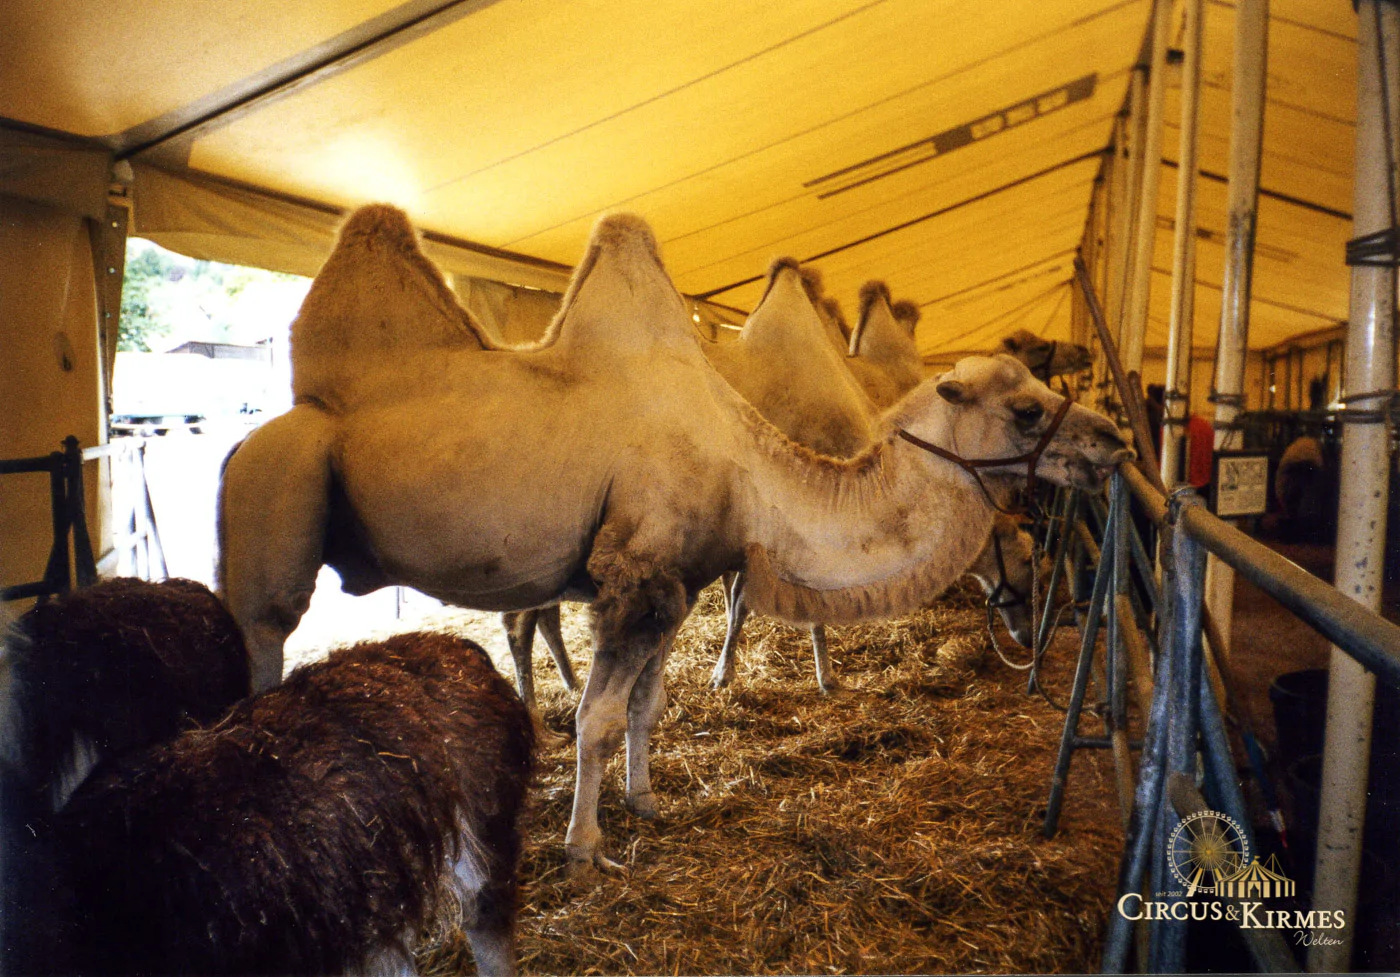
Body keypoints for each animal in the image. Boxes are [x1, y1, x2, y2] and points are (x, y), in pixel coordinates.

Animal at [218, 206, 1131, 872]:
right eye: (1026, 407)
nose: (1114, 440)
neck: (751, 467)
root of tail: (264, 430)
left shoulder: (677, 586)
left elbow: (647, 705)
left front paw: (646, 800)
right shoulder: (635, 580)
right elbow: (597, 713)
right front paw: (585, 847)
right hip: (273, 492)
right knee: (264, 642)